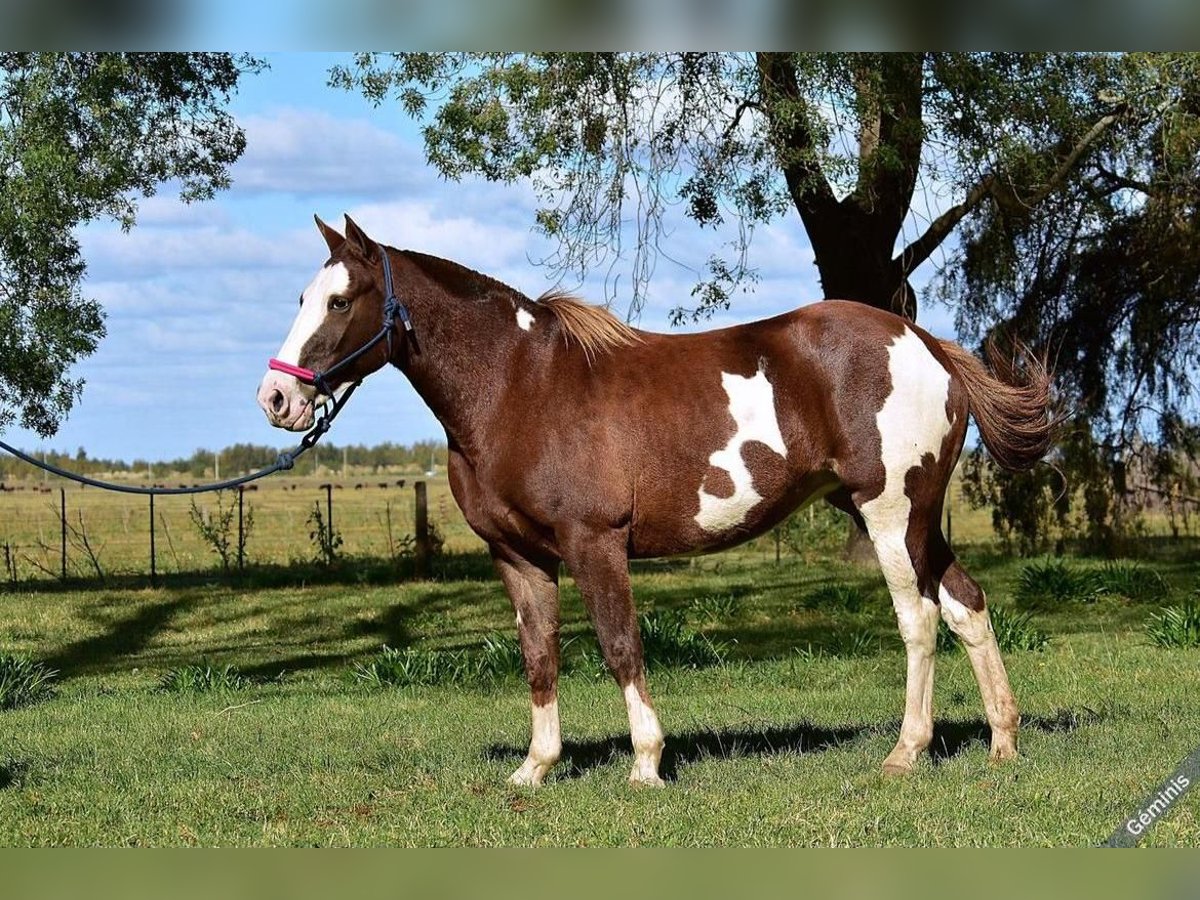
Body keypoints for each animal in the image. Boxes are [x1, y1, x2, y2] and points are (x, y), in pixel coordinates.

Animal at [253, 214, 1051, 787]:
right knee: (967, 604)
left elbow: (619, 646)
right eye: (300, 298)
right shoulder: (518, 556)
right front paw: (535, 769)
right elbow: (539, 654)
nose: (277, 398)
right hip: (911, 519)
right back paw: (1003, 742)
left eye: (339, 300)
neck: (518, 386)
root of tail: (925, 343)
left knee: (918, 620)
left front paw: (646, 763)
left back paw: (905, 752)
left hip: (889, 515)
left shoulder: (594, 543)